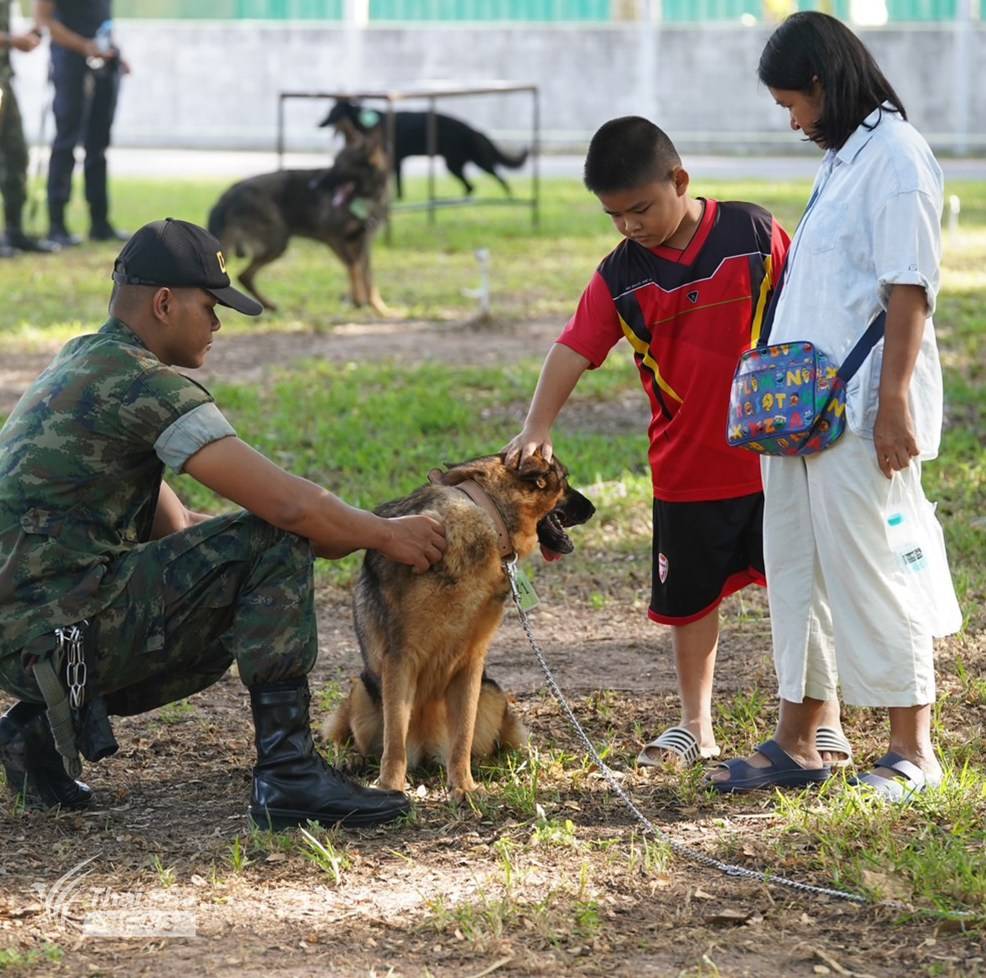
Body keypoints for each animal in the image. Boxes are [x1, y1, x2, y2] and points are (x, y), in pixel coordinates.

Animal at [207, 122, 388, 312]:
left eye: (341, 165)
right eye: (334, 163)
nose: (314, 185)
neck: (367, 196)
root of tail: (228, 194)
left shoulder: (363, 243)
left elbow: (367, 275)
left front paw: (379, 308)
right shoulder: (334, 238)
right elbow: (354, 266)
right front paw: (358, 300)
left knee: (245, 276)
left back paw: (269, 306)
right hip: (277, 243)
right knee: (244, 275)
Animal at [320, 99, 528, 200]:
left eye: (333, 112)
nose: (319, 123)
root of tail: (474, 129)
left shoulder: (395, 161)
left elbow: (396, 183)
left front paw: (398, 198)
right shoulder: (397, 161)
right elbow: (398, 184)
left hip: (473, 163)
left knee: (498, 178)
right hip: (456, 165)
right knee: (472, 186)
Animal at [326, 454, 596, 796]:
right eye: (565, 480)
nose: (593, 508)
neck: (489, 520)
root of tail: (425, 749)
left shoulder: (471, 663)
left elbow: (463, 735)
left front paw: (464, 787)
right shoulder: (401, 659)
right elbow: (394, 739)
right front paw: (390, 787)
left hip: (491, 691)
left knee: (503, 743)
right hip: (362, 689)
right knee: (354, 738)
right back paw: (351, 759)